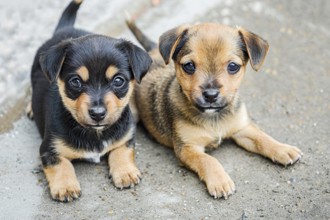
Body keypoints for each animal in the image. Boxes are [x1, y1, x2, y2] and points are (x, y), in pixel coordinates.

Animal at [28, 0, 152, 203]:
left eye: (119, 80)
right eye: (75, 81)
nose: (98, 114)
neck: (96, 133)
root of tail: (65, 28)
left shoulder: (127, 136)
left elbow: (122, 150)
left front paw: (125, 172)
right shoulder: (48, 149)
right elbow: (60, 164)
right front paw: (65, 187)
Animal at [127, 20, 302, 199]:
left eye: (233, 66)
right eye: (189, 66)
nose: (210, 95)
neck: (214, 117)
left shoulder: (242, 128)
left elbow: (262, 138)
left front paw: (282, 149)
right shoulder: (188, 148)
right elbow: (208, 160)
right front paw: (220, 181)